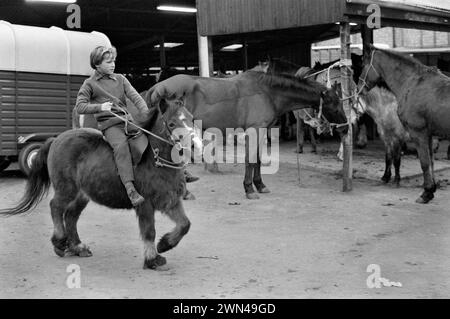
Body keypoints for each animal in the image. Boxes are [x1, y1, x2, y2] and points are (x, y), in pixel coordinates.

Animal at [0, 95, 200, 270]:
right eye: (172, 123)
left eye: (191, 119)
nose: (194, 145)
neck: (153, 158)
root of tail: (56, 139)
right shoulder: (145, 204)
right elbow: (149, 231)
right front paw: (152, 259)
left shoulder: (170, 200)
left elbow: (185, 224)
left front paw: (165, 245)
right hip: (66, 189)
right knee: (55, 207)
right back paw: (60, 242)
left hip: (82, 195)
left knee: (71, 215)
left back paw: (78, 247)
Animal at [148, 69, 344, 199]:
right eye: (334, 105)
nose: (345, 128)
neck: (267, 92)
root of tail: (156, 87)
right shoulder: (254, 129)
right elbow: (250, 159)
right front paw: (249, 189)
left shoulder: (263, 130)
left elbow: (257, 159)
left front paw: (260, 185)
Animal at [358, 45, 450, 202]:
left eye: (364, 65)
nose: (360, 86)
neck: (413, 83)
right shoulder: (428, 135)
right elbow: (431, 162)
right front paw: (432, 189)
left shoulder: (418, 134)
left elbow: (424, 163)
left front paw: (426, 193)